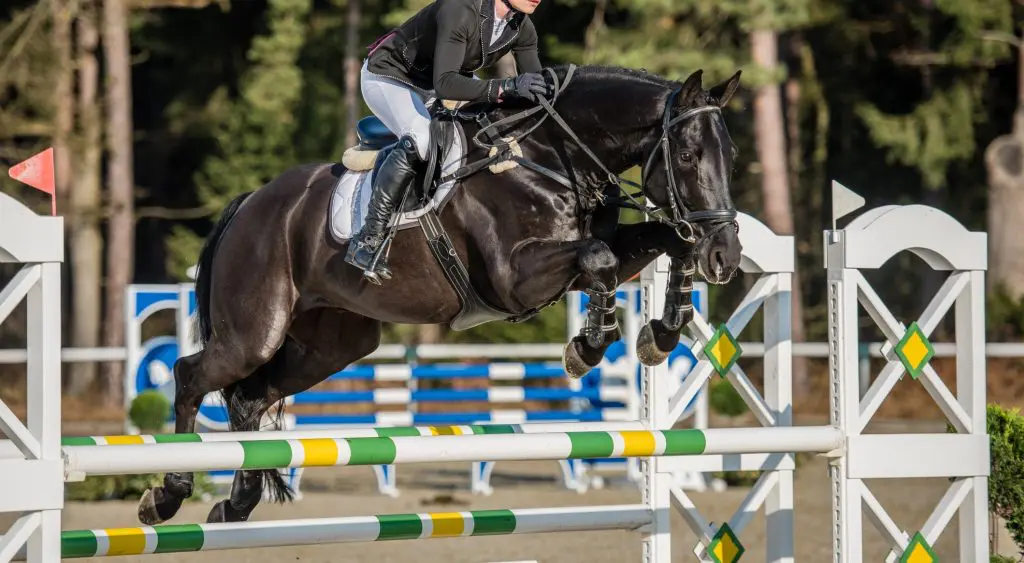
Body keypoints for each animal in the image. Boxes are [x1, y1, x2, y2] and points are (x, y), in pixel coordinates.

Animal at [136, 63, 745, 528]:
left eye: (731, 156)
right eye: (686, 157)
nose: (727, 256)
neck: (550, 155)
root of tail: (250, 203)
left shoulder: (596, 251)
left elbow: (660, 242)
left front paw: (660, 332)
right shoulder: (514, 278)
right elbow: (599, 259)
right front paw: (589, 347)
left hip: (332, 345)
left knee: (251, 397)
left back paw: (235, 504)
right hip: (254, 331)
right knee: (192, 375)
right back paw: (168, 495)